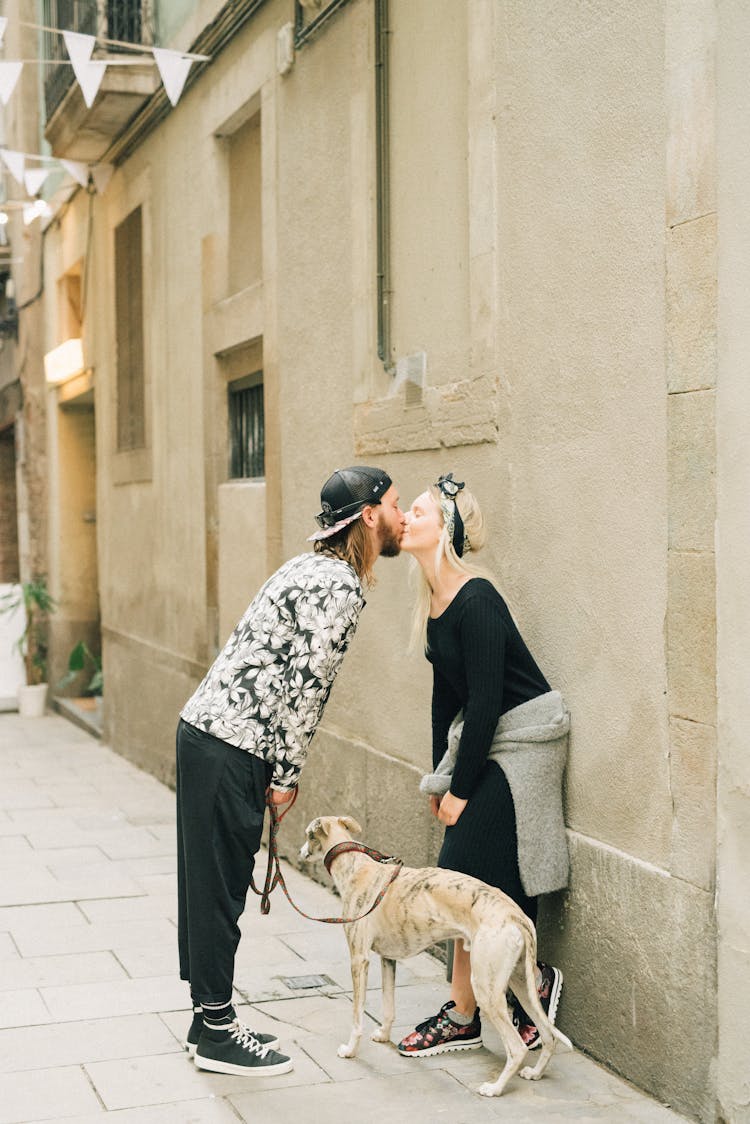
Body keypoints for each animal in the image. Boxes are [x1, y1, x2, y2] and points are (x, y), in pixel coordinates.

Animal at [299, 818, 575, 1097]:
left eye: (308, 835)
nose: (300, 852)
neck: (356, 867)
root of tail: (515, 915)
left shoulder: (359, 959)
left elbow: (357, 1015)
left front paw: (350, 1050)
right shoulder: (388, 959)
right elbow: (388, 1007)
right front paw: (383, 1035)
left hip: (486, 986)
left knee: (517, 1047)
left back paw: (495, 1088)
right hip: (519, 981)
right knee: (549, 1035)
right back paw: (535, 1073)